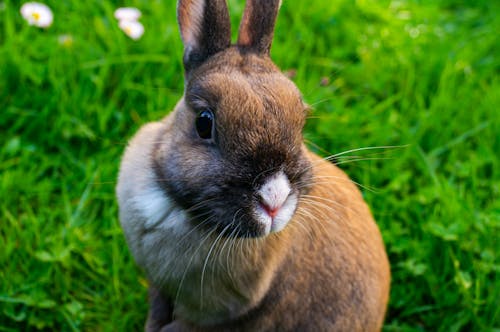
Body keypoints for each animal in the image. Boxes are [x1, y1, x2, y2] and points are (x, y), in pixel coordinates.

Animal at [117, 0, 390, 330]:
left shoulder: (204, 315)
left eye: (301, 121)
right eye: (204, 123)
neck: (182, 208)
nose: (274, 199)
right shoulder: (161, 289)